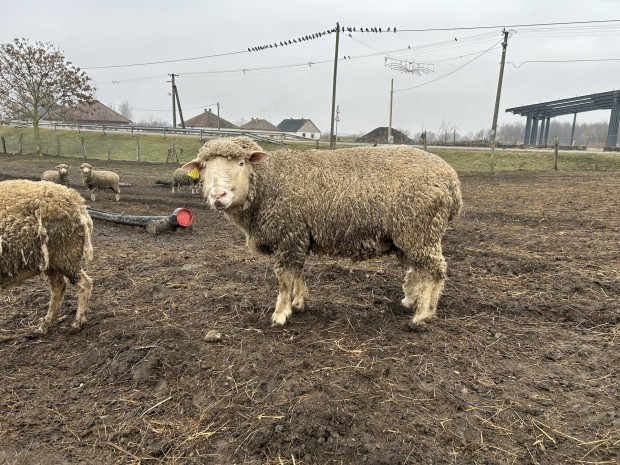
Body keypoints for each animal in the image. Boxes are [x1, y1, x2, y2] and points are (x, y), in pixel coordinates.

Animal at [0, 179, 94, 334]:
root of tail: (78, 202)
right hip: (52, 260)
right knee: (59, 286)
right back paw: (45, 325)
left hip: (65, 253)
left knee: (84, 283)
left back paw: (77, 322)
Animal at [184, 136, 460, 326]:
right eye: (204, 168)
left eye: (241, 163)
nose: (218, 196)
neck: (268, 183)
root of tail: (451, 180)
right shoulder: (297, 235)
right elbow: (297, 272)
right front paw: (299, 301)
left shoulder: (289, 233)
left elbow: (284, 278)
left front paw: (280, 313)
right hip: (410, 235)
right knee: (419, 269)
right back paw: (411, 301)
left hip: (420, 230)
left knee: (435, 270)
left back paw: (423, 314)